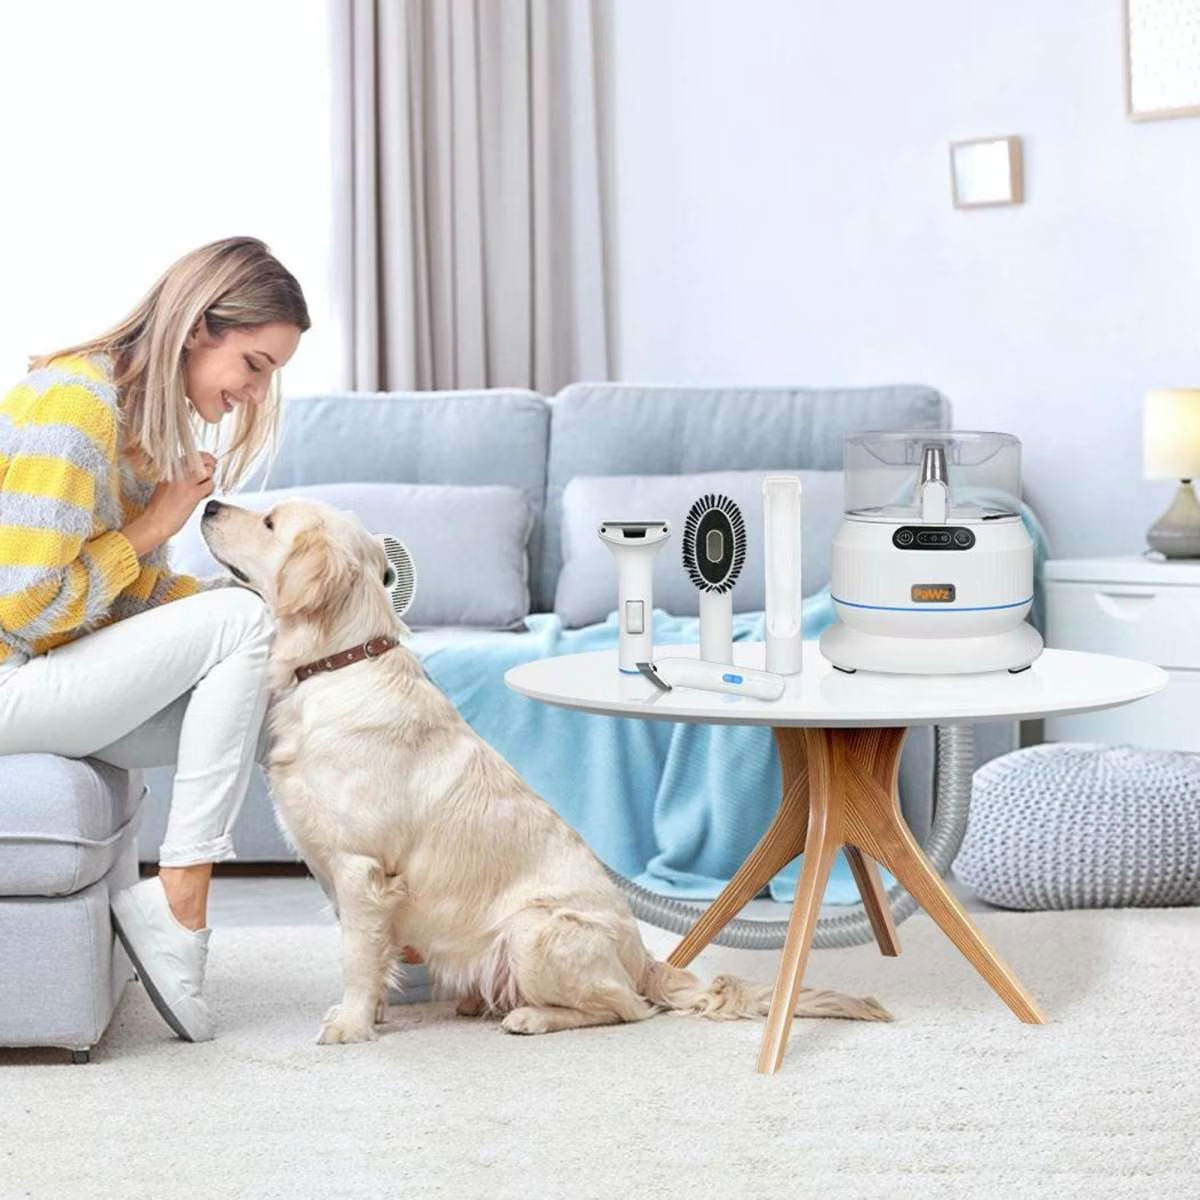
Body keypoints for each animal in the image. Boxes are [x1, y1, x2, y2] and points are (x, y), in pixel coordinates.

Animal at [201, 498, 891, 1044]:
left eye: (269, 521)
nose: (207, 504)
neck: (339, 663)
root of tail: (644, 959)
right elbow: (367, 953)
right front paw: (370, 1013)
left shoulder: (360, 869)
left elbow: (355, 955)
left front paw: (350, 1025)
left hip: (533, 930)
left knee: (626, 1007)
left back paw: (531, 1016)